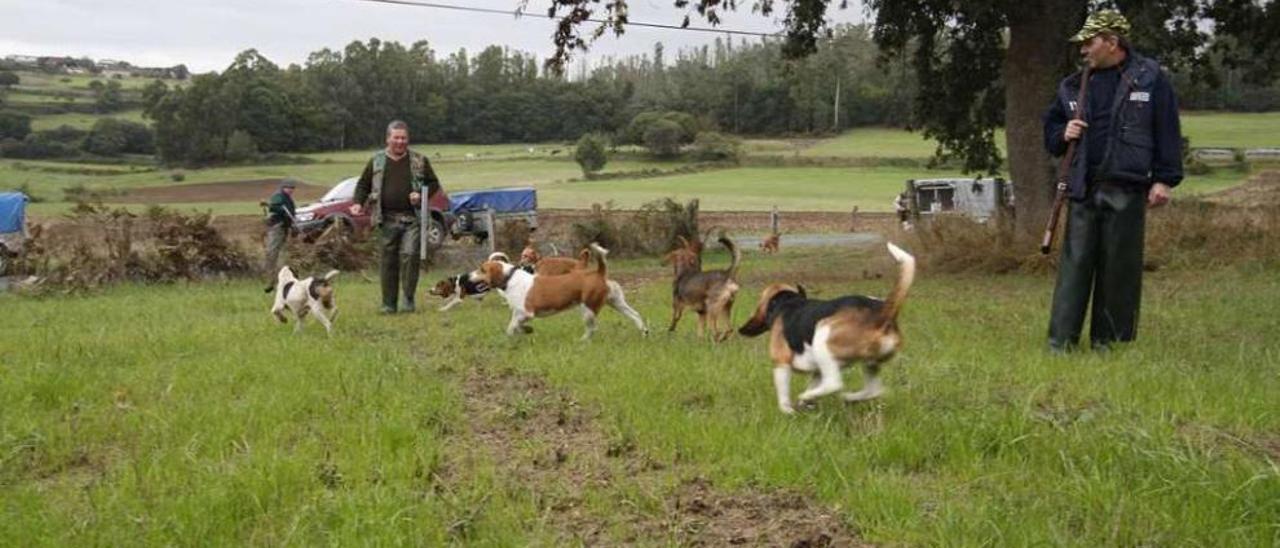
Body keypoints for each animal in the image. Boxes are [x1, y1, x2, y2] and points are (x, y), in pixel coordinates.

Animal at [737, 241, 916, 412]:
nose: (741, 330)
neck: (786, 301)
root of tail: (883, 313)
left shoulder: (781, 363)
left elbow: (783, 395)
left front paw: (788, 410)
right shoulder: (817, 372)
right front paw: (805, 405)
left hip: (823, 336)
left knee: (834, 384)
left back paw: (810, 396)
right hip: (870, 362)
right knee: (873, 390)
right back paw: (848, 398)